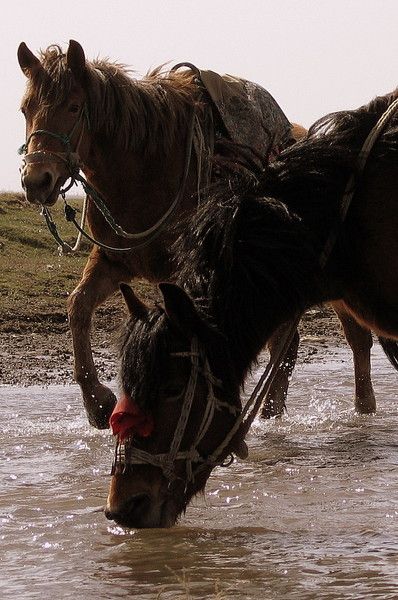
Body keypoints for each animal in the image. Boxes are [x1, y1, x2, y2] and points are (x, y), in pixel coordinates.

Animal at [15, 39, 306, 428]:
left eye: (74, 106)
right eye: (26, 109)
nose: (36, 181)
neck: (142, 172)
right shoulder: (113, 261)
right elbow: (78, 306)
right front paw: (97, 402)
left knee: (284, 342)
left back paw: (268, 413)